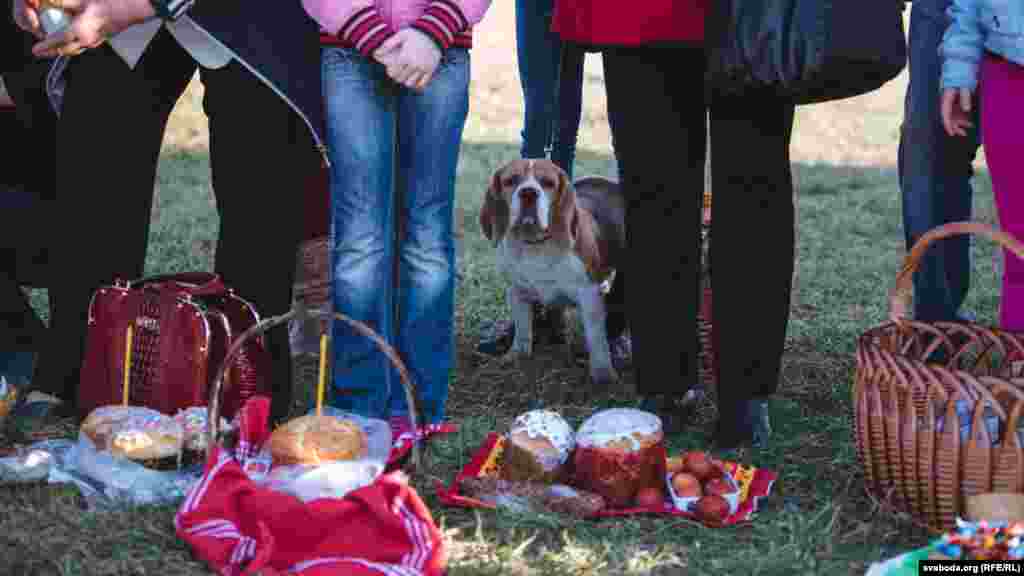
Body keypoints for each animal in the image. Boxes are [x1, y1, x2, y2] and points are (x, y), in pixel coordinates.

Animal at [477, 158, 622, 387]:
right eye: (511, 180)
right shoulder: (516, 291)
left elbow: (596, 337)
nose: (528, 192)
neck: (536, 245)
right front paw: (517, 355)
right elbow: (523, 328)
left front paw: (602, 373)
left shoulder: (589, 294)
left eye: (548, 183)